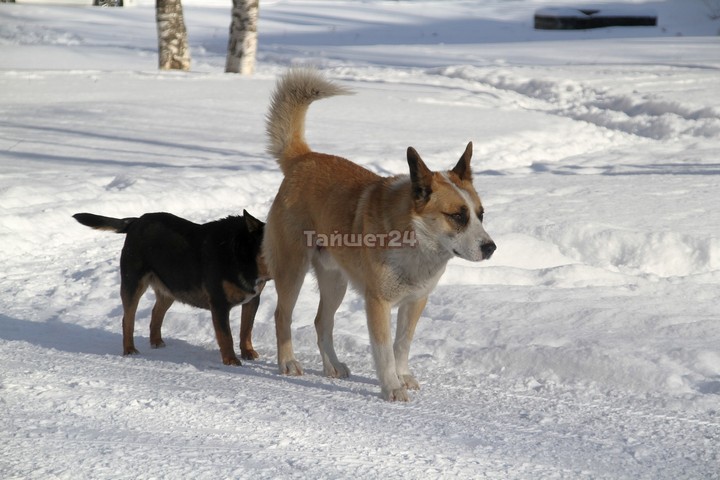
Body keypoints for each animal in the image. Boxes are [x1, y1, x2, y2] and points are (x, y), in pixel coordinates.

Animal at [74, 209, 270, 364]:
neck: (242, 254)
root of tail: (136, 221)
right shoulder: (219, 304)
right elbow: (226, 335)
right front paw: (231, 360)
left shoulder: (253, 300)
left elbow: (246, 329)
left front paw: (247, 352)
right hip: (133, 283)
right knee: (127, 319)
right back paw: (129, 349)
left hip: (171, 288)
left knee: (156, 313)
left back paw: (156, 341)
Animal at [262, 68, 496, 402]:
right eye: (457, 216)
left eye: (480, 213)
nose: (491, 248)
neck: (414, 239)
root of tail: (303, 158)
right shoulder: (378, 303)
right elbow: (384, 350)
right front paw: (391, 387)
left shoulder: (415, 301)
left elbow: (402, 343)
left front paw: (403, 376)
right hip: (292, 268)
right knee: (283, 315)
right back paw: (288, 362)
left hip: (335, 280)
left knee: (322, 322)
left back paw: (332, 366)